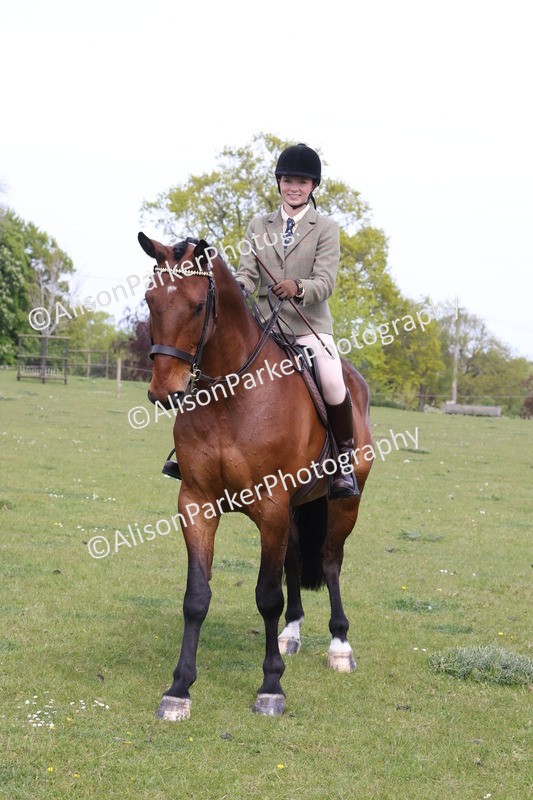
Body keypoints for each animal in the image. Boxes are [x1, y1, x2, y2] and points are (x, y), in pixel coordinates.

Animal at [138, 232, 374, 719]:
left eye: (196, 306)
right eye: (150, 300)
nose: (163, 392)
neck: (231, 394)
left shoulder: (271, 506)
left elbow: (267, 596)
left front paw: (271, 687)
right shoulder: (197, 504)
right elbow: (196, 597)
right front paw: (179, 689)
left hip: (344, 503)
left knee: (330, 561)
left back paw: (339, 646)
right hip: (296, 508)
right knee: (296, 559)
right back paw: (292, 635)